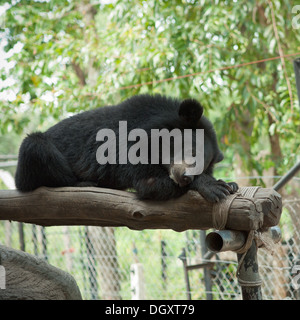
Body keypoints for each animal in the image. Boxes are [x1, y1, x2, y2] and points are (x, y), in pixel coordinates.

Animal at [14, 94, 239, 201]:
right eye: (191, 152)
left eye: (203, 164)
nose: (185, 177)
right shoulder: (130, 147)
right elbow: (150, 183)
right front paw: (215, 186)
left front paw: (230, 184)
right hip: (31, 158)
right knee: (35, 145)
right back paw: (82, 183)